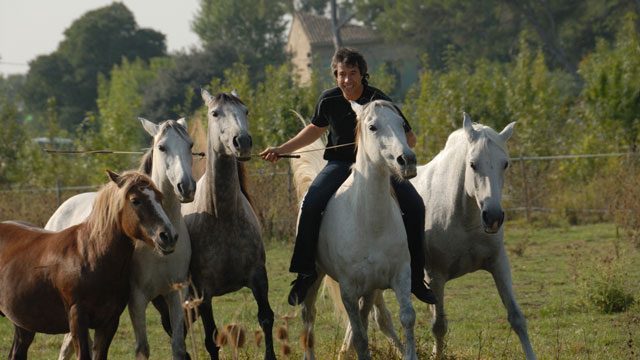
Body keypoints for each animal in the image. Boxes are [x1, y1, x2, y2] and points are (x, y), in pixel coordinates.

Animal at [0, 170, 176, 358]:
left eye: (159, 197)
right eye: (136, 200)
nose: (168, 236)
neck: (91, 257)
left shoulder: (109, 322)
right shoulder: (78, 319)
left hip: (23, 325)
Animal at [46, 118, 196, 360]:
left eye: (190, 145)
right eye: (162, 147)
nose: (187, 187)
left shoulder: (176, 295)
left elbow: (178, 346)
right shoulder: (137, 298)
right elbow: (142, 348)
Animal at [292, 100, 420, 360]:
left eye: (402, 124)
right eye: (372, 126)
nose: (407, 160)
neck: (371, 224)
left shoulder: (400, 274)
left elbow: (406, 318)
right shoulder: (348, 290)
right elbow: (360, 336)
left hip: (369, 289)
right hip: (314, 275)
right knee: (308, 316)